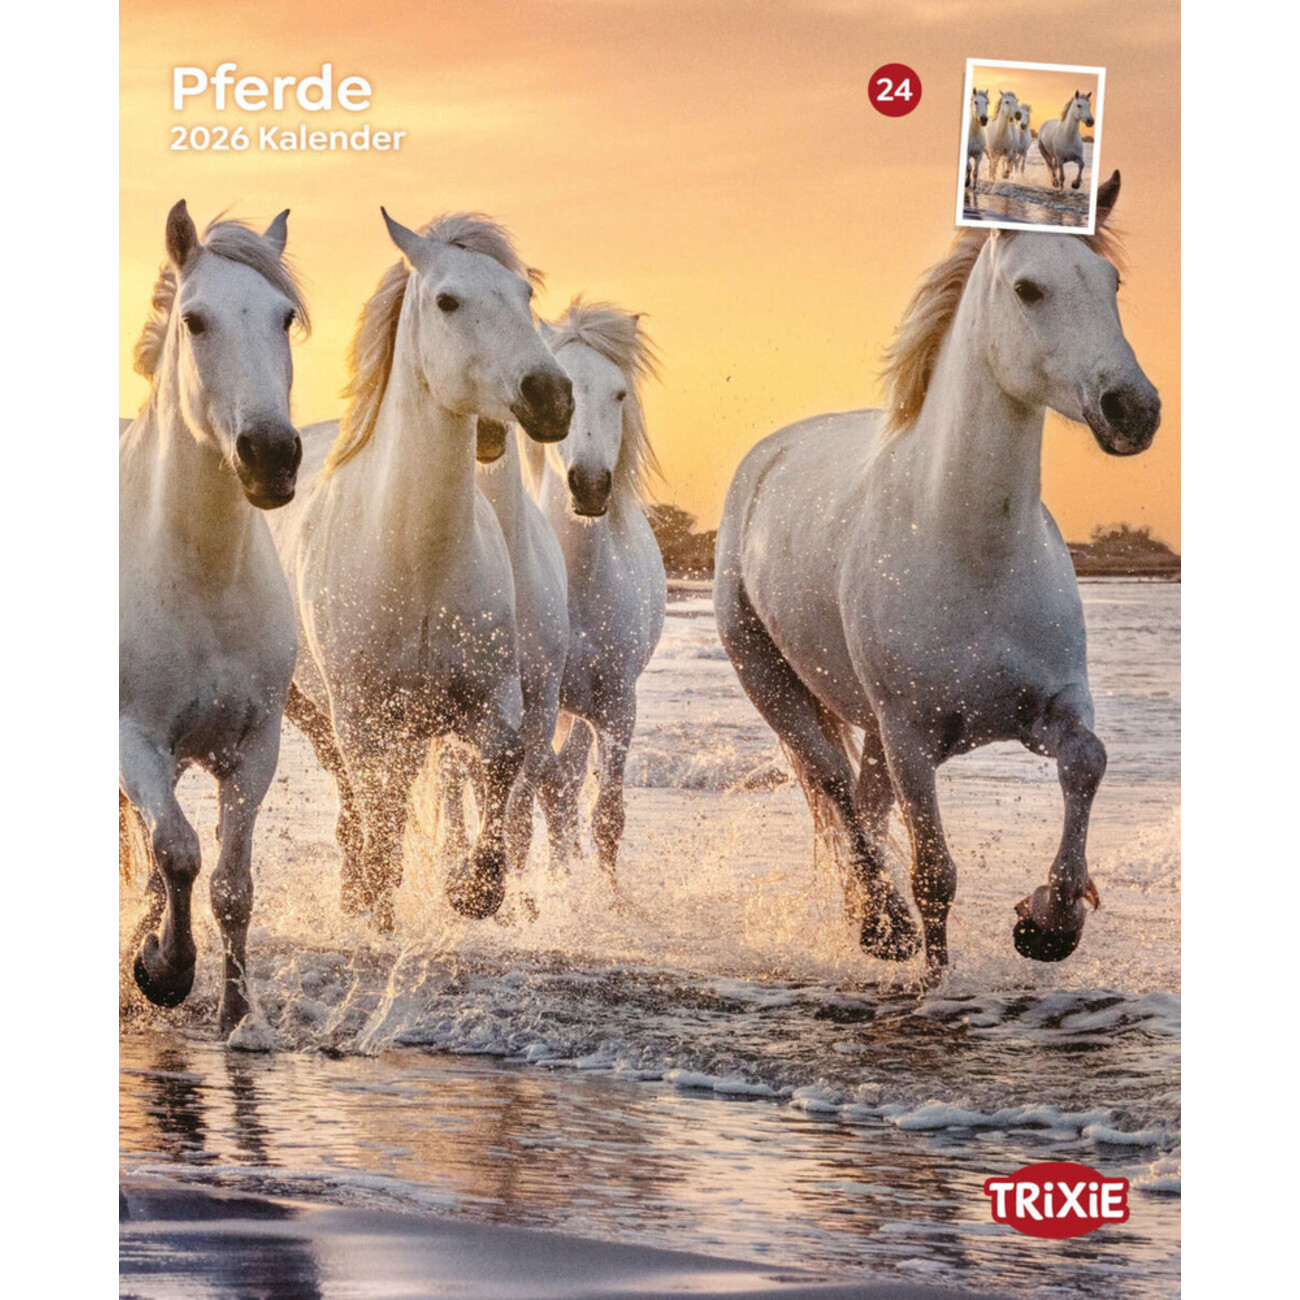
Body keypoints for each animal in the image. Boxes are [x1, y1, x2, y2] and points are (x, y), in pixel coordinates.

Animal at [267, 211, 573, 931]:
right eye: (448, 301)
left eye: (524, 295)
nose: (551, 396)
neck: (419, 562)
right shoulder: (362, 716)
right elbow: (379, 815)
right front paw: (380, 908)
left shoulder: (493, 699)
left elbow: (503, 763)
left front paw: (473, 890)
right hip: (317, 713)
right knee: (358, 805)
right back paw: (359, 898)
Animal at [714, 172, 1159, 973]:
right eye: (1028, 289)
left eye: (1110, 281)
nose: (1133, 409)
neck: (971, 550)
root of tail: (766, 458)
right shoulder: (912, 736)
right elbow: (934, 876)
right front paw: (935, 972)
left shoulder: (1051, 707)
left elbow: (1088, 762)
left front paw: (1048, 922)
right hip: (775, 684)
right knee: (834, 787)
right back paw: (880, 925)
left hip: (871, 730)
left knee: (863, 802)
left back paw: (868, 919)